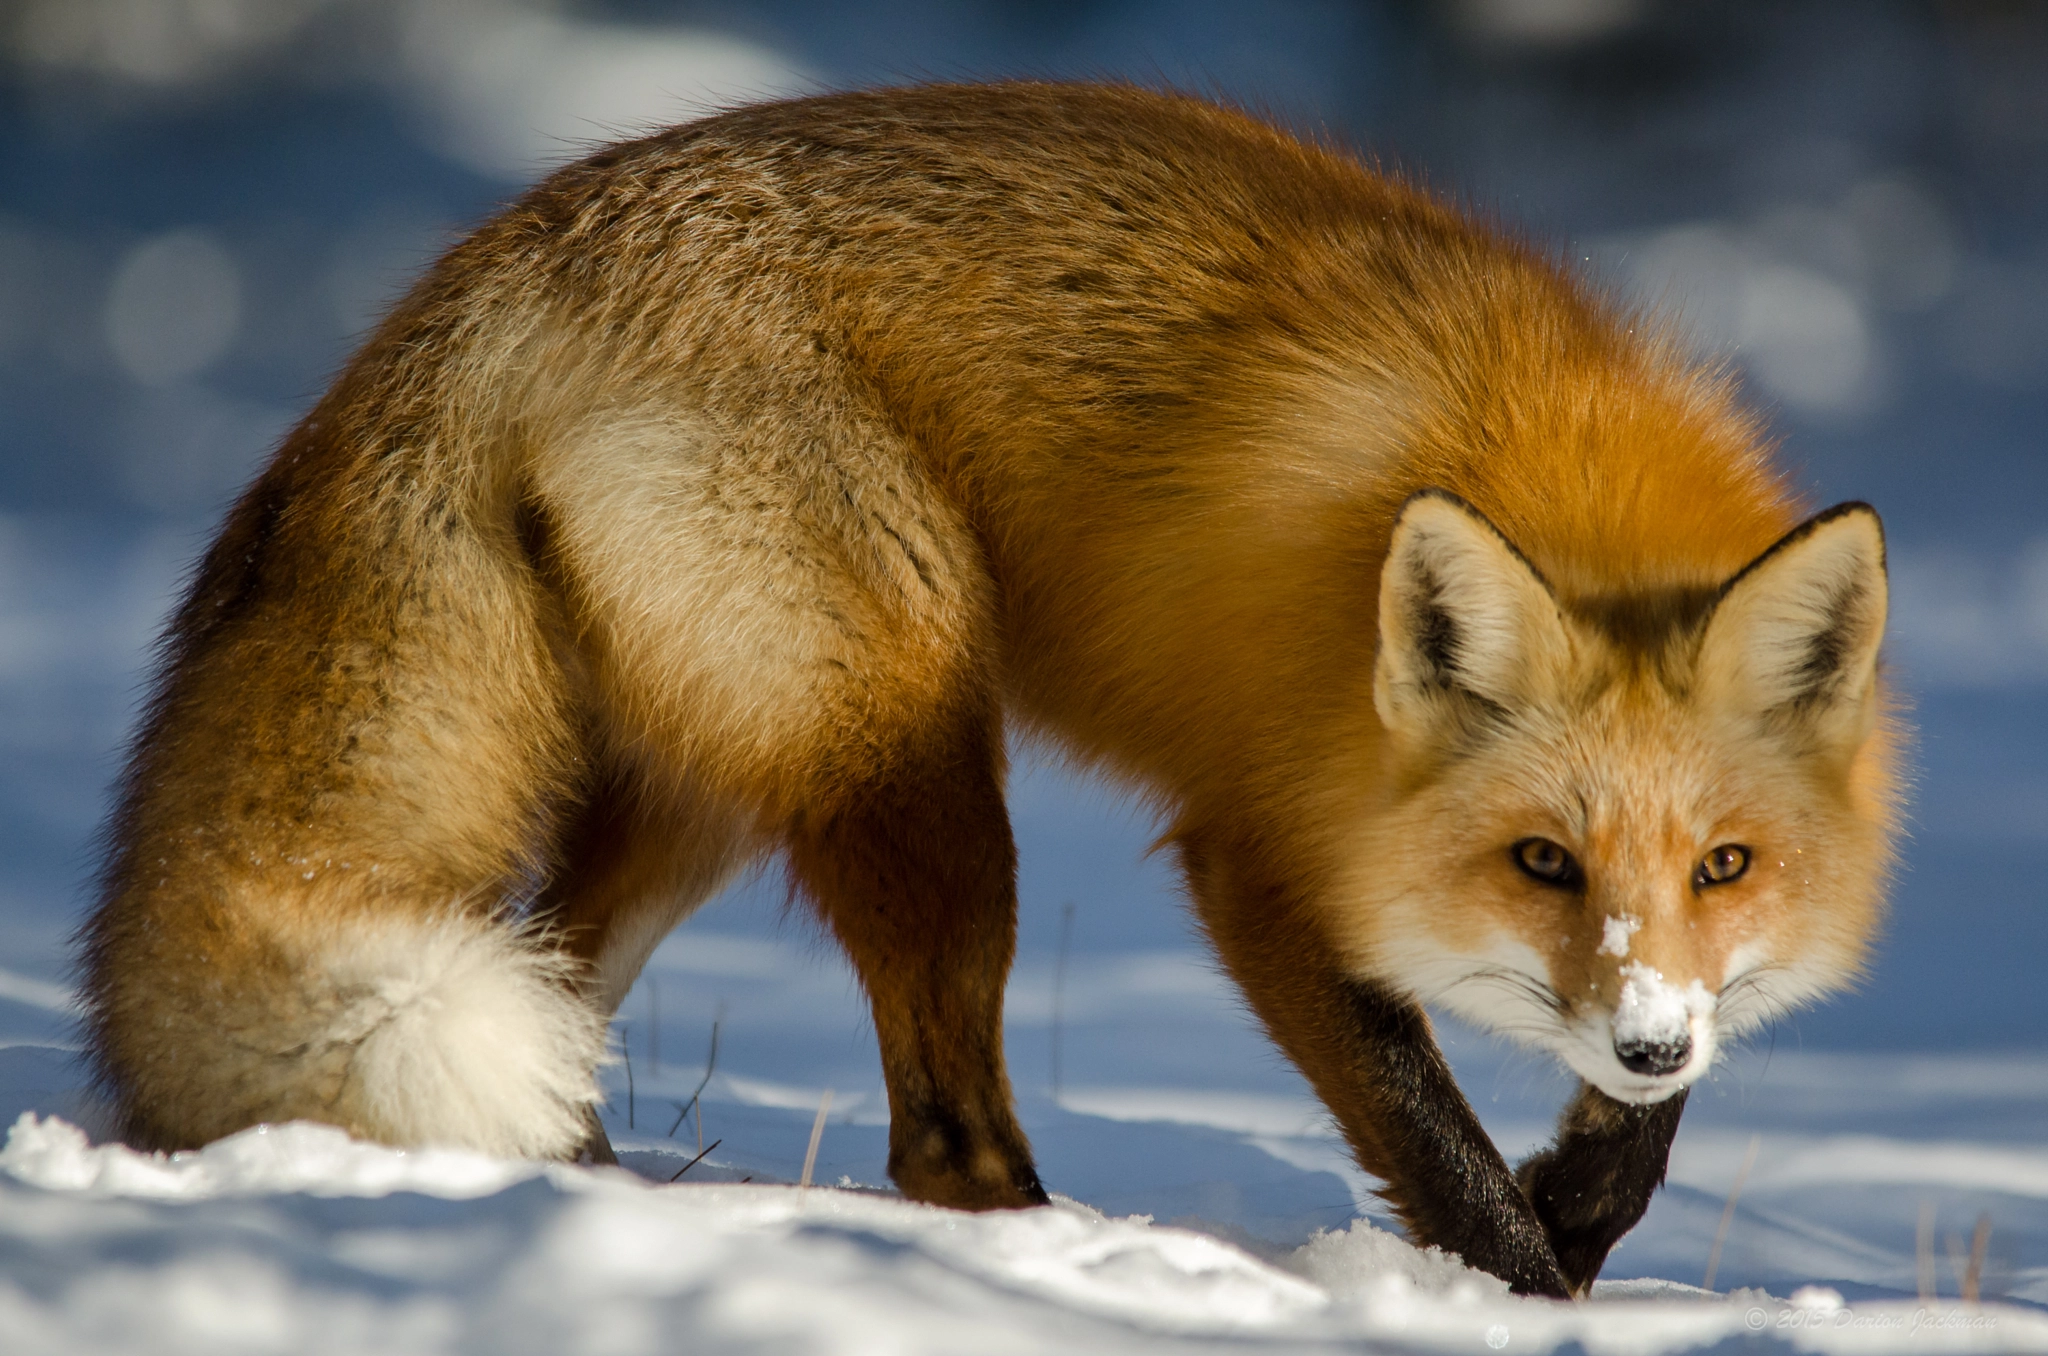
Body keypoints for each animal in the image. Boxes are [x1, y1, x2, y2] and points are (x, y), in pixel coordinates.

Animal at [83, 82, 1900, 1294]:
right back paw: (1063, 1269)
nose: (1650, 1040)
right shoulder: (1255, 860)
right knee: (938, 1138)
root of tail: (502, 263)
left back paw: (584, 1206)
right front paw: (1521, 1281)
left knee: (561, 976)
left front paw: (1591, 1195)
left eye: (1724, 867)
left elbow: (1635, 1137)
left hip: (709, 793)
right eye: (1538, 862)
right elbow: (1431, 1141)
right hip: (918, 768)